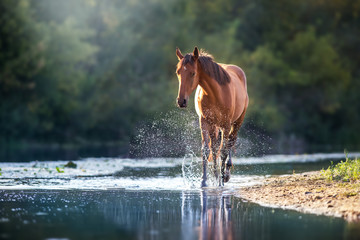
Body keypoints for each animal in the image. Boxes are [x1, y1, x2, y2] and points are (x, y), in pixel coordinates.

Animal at [176, 46, 249, 186]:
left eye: (193, 73)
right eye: (178, 72)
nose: (181, 101)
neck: (216, 93)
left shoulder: (226, 124)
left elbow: (223, 151)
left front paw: (221, 180)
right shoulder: (204, 122)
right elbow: (206, 150)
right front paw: (204, 180)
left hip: (236, 122)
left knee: (230, 142)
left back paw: (225, 173)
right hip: (214, 126)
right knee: (215, 147)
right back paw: (216, 175)